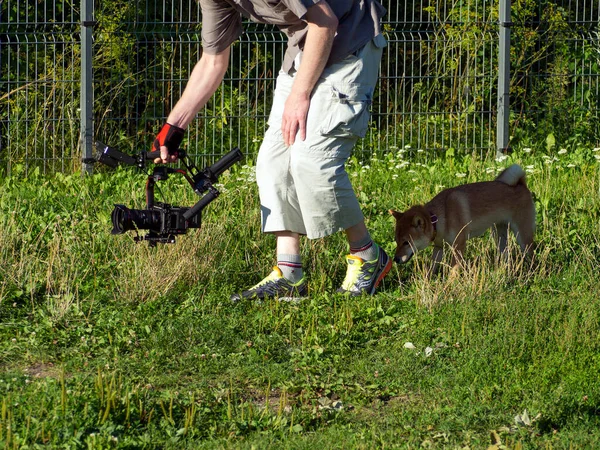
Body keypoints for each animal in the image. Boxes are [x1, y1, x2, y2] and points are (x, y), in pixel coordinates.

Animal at [392, 163, 536, 272]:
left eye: (406, 242)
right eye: (397, 241)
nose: (395, 259)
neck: (438, 219)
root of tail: (521, 184)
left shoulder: (459, 245)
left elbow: (453, 270)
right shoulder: (439, 247)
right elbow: (431, 268)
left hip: (523, 238)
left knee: (531, 255)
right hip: (499, 235)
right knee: (505, 255)